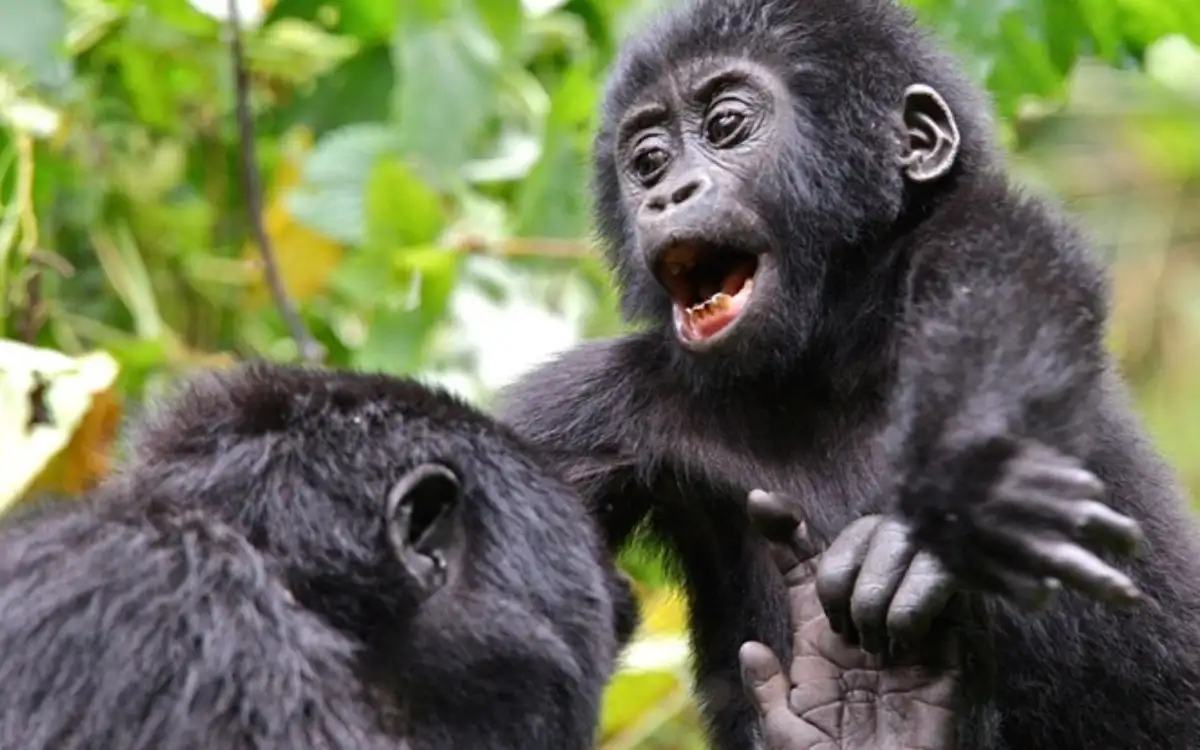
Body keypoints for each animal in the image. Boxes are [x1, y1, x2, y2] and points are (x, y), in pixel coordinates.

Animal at [496, 0, 1200, 747]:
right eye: (649, 161)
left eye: (725, 126)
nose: (668, 194)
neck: (823, 369)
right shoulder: (598, 407)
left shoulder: (972, 231)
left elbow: (1014, 298)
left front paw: (957, 505)